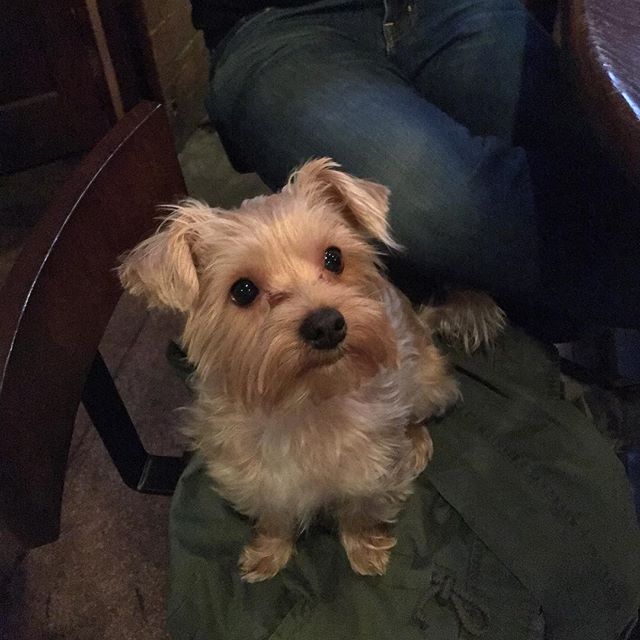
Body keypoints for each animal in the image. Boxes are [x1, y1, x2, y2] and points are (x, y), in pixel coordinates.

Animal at [117, 158, 502, 584]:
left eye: (334, 257)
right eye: (243, 291)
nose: (326, 324)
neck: (306, 402)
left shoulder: (369, 474)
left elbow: (359, 513)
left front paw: (365, 552)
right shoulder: (259, 479)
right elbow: (275, 519)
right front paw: (268, 555)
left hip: (425, 381)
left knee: (417, 413)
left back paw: (415, 441)